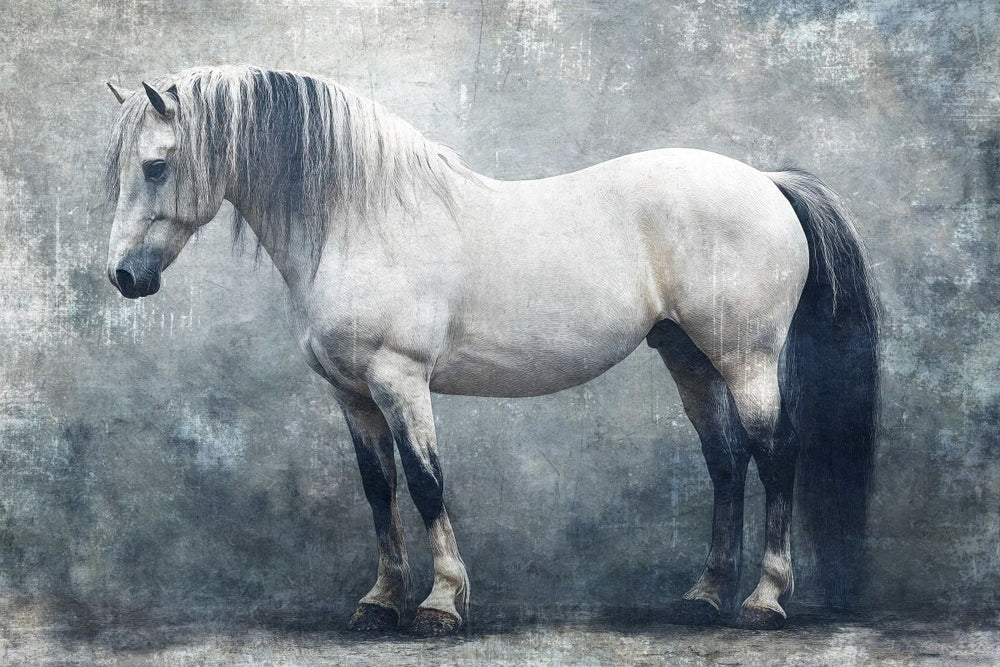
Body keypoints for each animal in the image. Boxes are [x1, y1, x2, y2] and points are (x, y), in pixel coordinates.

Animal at [102, 66, 879, 636]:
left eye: (155, 166)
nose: (124, 277)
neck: (361, 219)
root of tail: (767, 182)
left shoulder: (400, 379)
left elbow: (425, 482)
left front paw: (441, 603)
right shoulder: (352, 394)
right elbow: (379, 490)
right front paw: (379, 602)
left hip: (746, 358)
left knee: (774, 453)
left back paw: (763, 599)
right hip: (687, 355)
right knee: (725, 459)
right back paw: (704, 596)